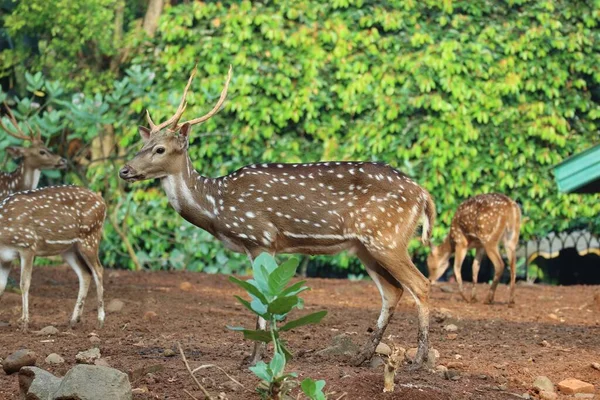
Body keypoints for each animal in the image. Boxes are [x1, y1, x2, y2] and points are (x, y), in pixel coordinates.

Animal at [0, 186, 106, 330]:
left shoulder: (27, 245)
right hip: (69, 249)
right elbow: (1, 286)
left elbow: (24, 283)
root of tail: (102, 202)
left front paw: (24, 322)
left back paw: (100, 320)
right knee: (85, 273)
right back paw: (74, 320)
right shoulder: (5, 258)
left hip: (90, 236)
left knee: (98, 270)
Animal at [118, 66, 436, 368]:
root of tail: (423, 195)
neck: (217, 206)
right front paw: (262, 355)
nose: (124, 170)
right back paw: (362, 356)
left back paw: (418, 360)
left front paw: (256, 359)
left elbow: (262, 298)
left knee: (421, 284)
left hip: (386, 237)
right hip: (363, 246)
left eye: (160, 149)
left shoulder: (260, 238)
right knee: (393, 291)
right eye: (142, 146)